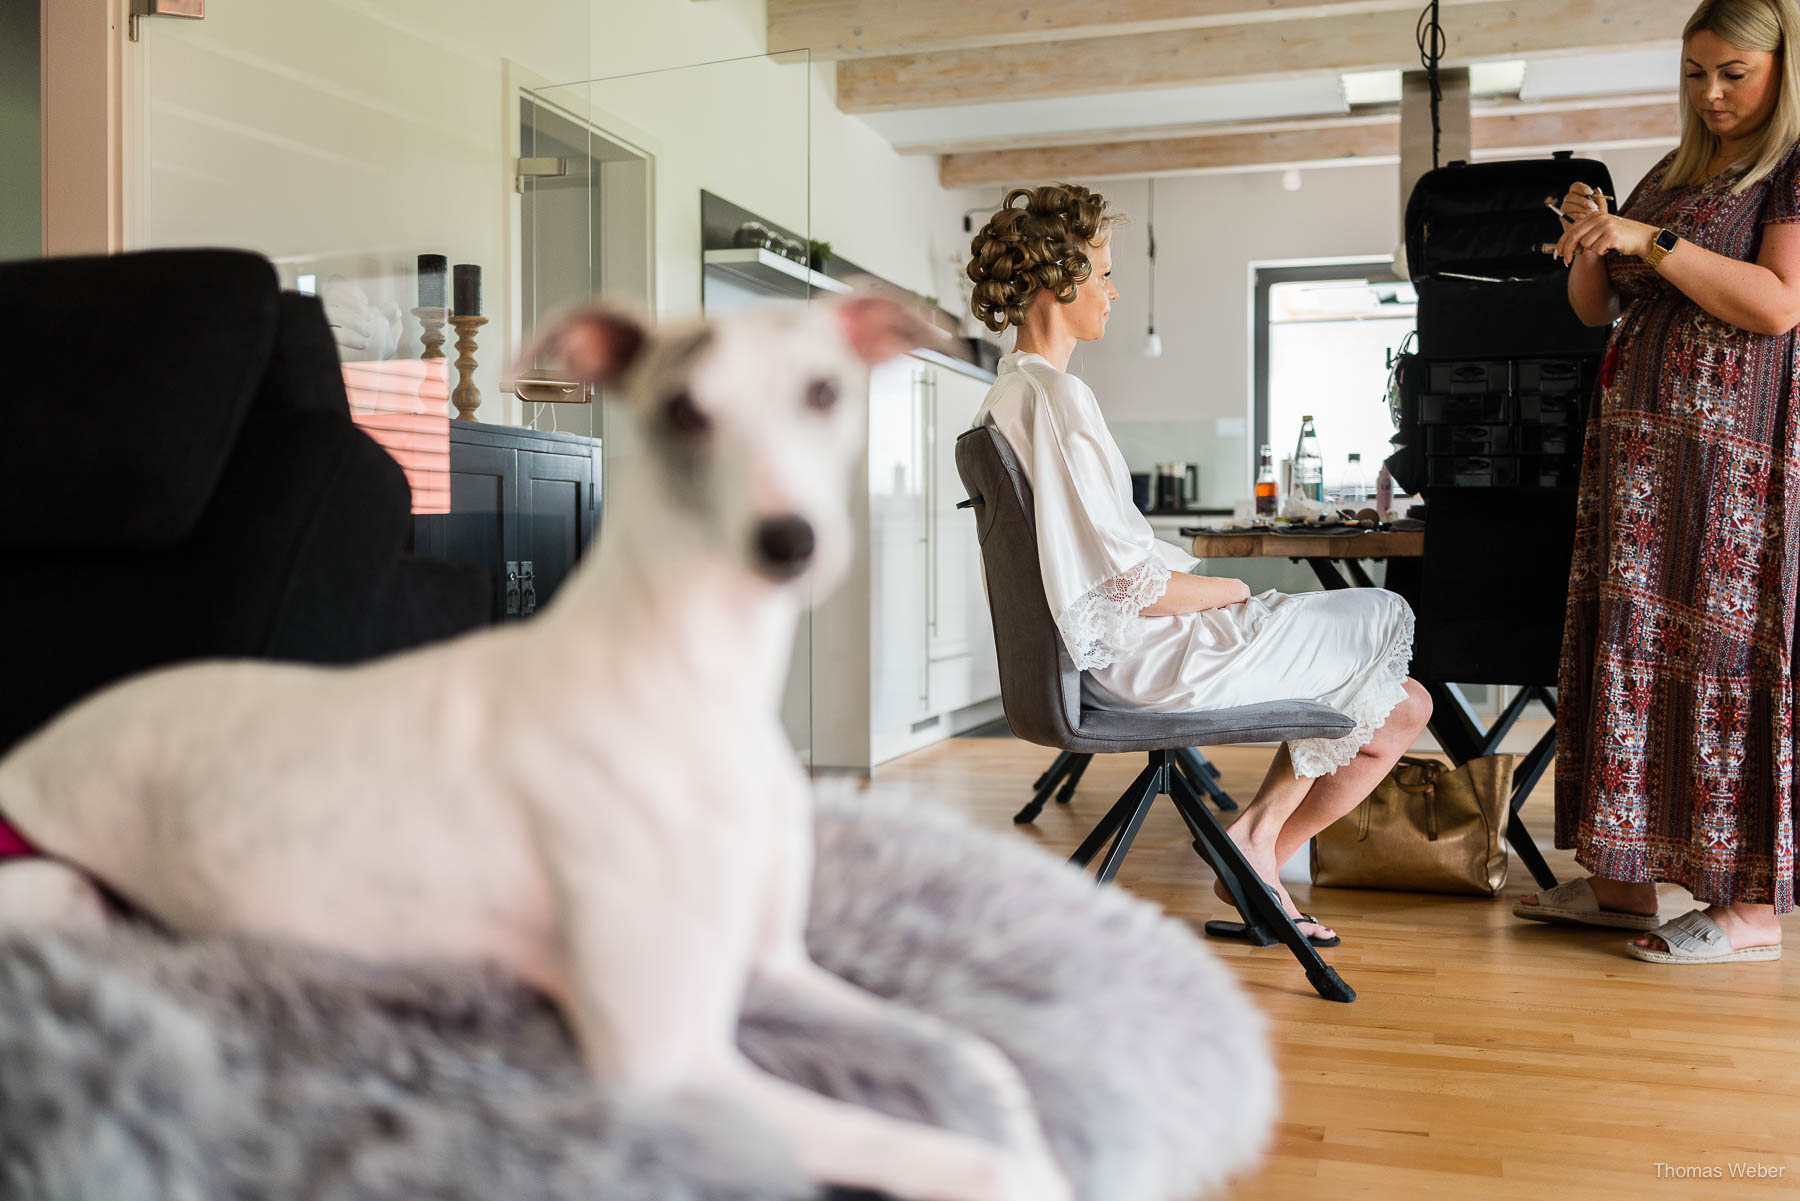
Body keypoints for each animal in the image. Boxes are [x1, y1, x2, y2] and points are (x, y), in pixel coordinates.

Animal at [0, 293, 1065, 1201]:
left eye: (823, 391)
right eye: (683, 408)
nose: (787, 542)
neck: (689, 679)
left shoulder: (778, 963)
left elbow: (982, 1057)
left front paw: (1019, 1109)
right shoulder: (670, 1067)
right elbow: (978, 1163)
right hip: (60, 891)